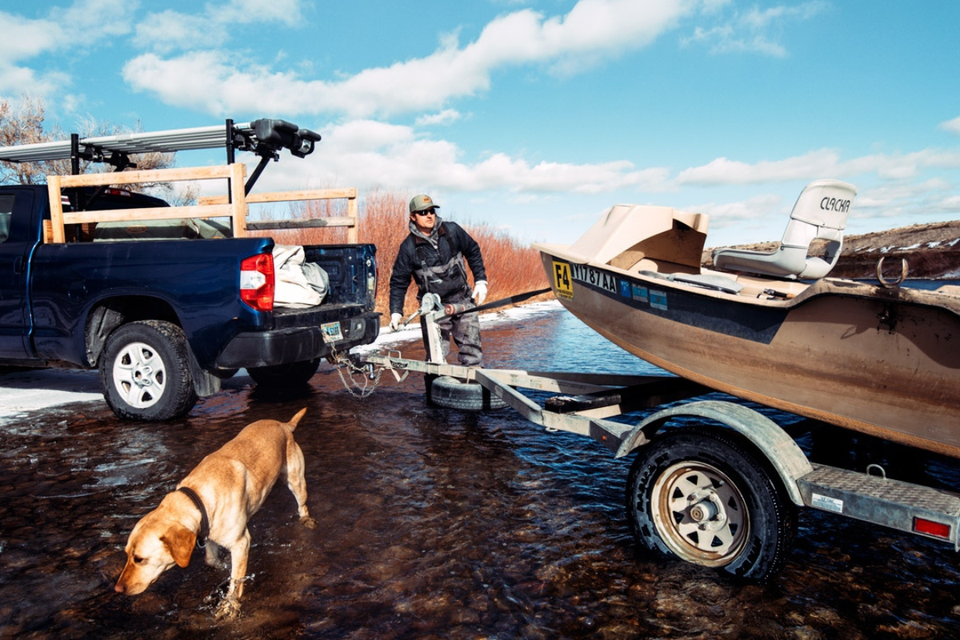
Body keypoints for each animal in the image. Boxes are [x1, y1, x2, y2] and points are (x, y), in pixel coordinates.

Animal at [113, 408, 316, 616]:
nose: (117, 589)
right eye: (126, 554)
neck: (198, 497)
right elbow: (212, 560)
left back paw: (306, 520)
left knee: (303, 506)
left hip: (296, 481)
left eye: (139, 559)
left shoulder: (241, 543)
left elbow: (235, 582)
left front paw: (229, 607)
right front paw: (222, 566)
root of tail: (284, 425)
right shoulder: (208, 534)